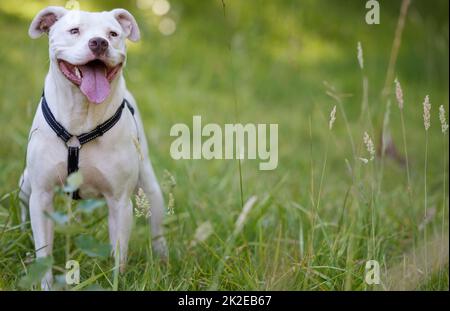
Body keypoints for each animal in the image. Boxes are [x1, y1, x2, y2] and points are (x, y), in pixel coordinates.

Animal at [18, 6, 168, 290]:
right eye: (74, 30)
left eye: (113, 34)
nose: (99, 42)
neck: (81, 117)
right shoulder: (41, 195)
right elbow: (45, 251)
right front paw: (44, 283)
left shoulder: (119, 202)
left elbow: (119, 254)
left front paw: (115, 281)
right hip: (25, 184)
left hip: (149, 187)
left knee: (157, 224)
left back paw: (163, 259)